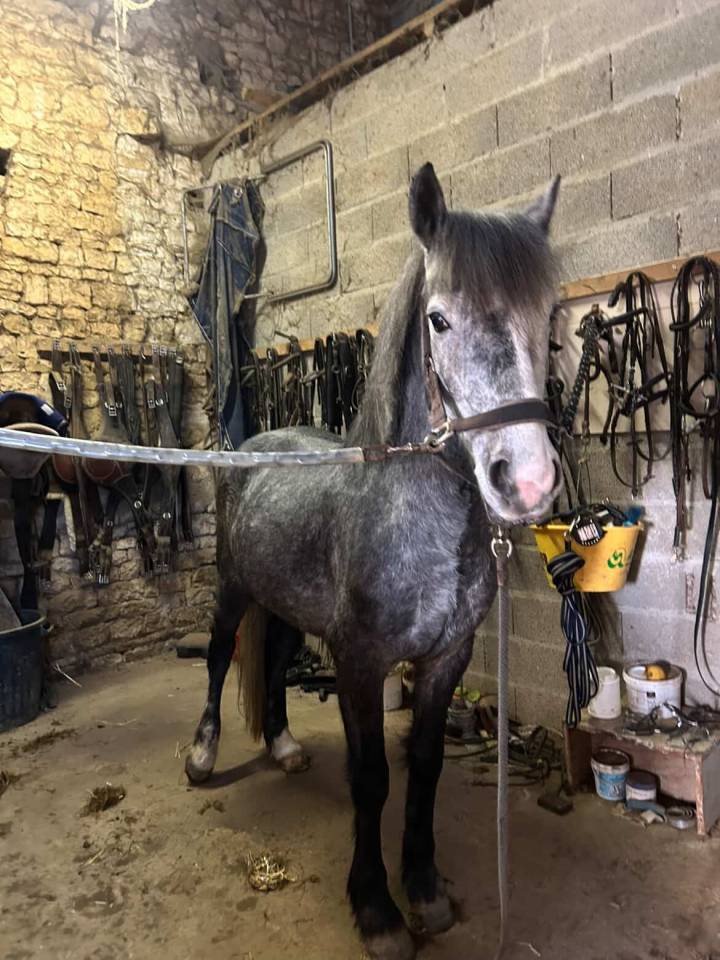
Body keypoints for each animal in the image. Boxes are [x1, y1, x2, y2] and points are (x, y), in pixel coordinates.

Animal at [185, 162, 563, 960]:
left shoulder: (447, 658)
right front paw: (377, 910)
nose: (527, 481)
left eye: (547, 316)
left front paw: (424, 890)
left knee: (274, 661)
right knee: (218, 657)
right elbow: (371, 779)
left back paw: (285, 747)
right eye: (439, 320)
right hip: (234, 589)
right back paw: (202, 757)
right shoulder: (358, 663)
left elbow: (423, 767)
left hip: (287, 604)